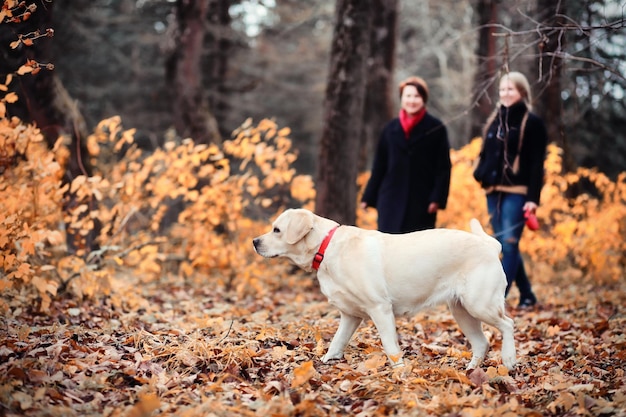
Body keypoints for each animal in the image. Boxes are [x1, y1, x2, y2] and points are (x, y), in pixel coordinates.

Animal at [251, 210, 516, 368]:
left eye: (276, 230)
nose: (254, 241)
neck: (326, 247)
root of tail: (490, 245)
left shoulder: (380, 308)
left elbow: (390, 347)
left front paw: (399, 373)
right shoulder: (350, 315)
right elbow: (337, 342)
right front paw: (325, 362)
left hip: (479, 304)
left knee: (508, 324)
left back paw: (509, 359)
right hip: (462, 311)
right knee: (482, 343)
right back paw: (471, 372)